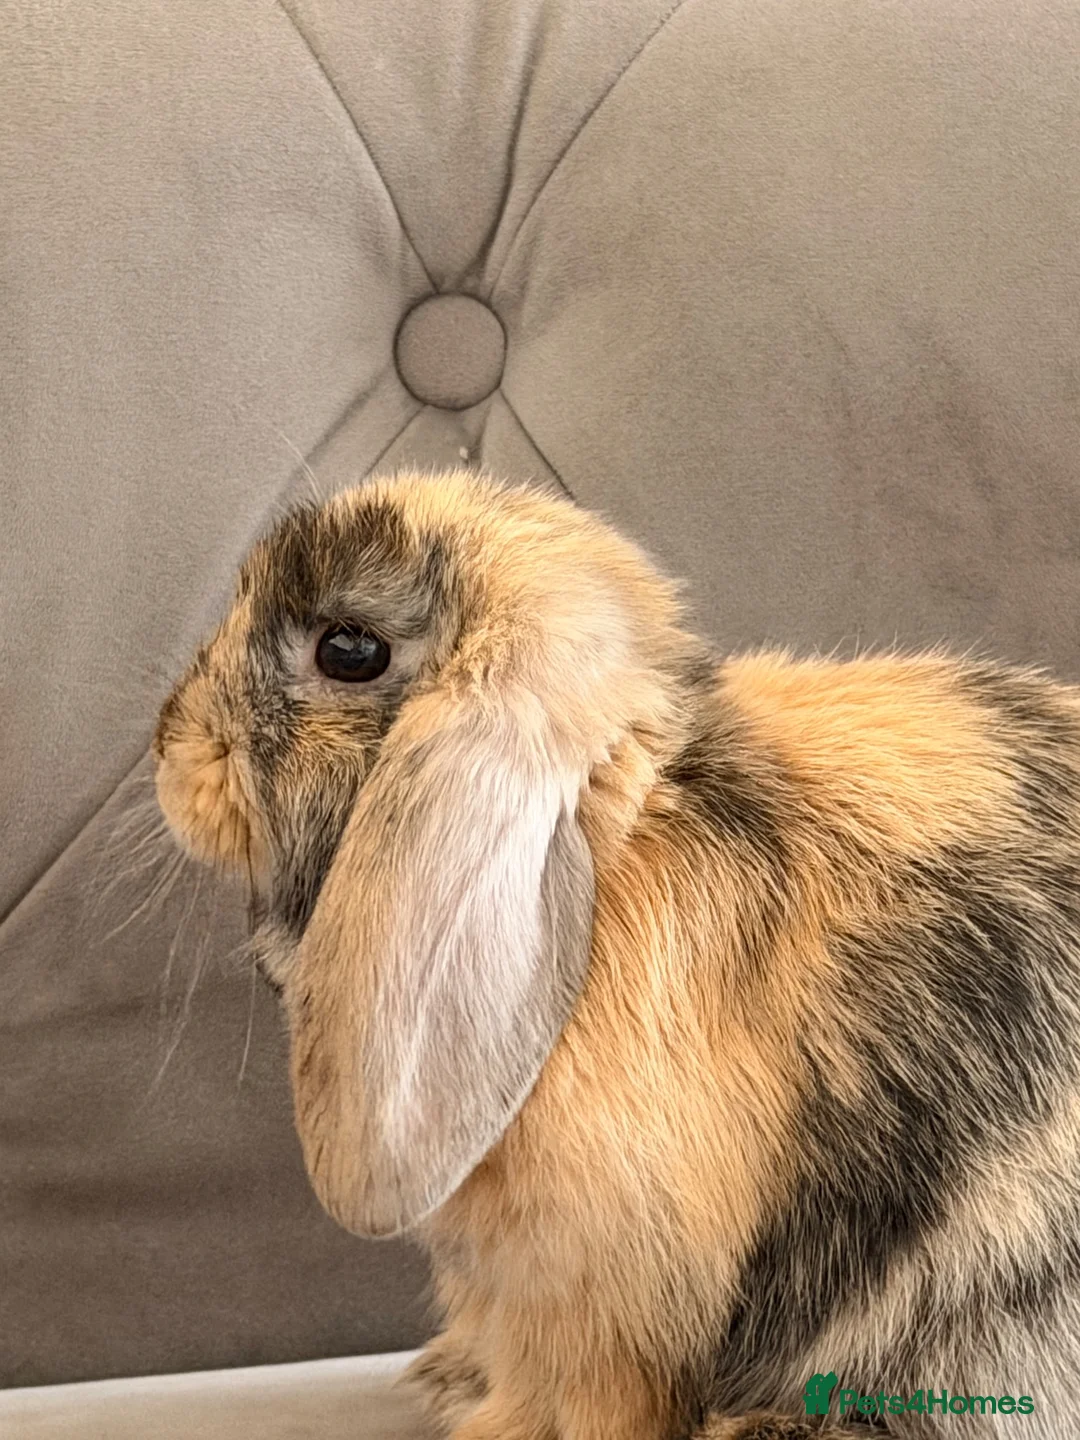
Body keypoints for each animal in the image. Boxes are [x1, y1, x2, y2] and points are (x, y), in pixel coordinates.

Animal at [154, 469, 1080, 1440]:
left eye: (349, 649)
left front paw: (495, 1426)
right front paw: (457, 1386)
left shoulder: (606, 1291)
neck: (609, 849)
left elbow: (590, 1391)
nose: (168, 743)